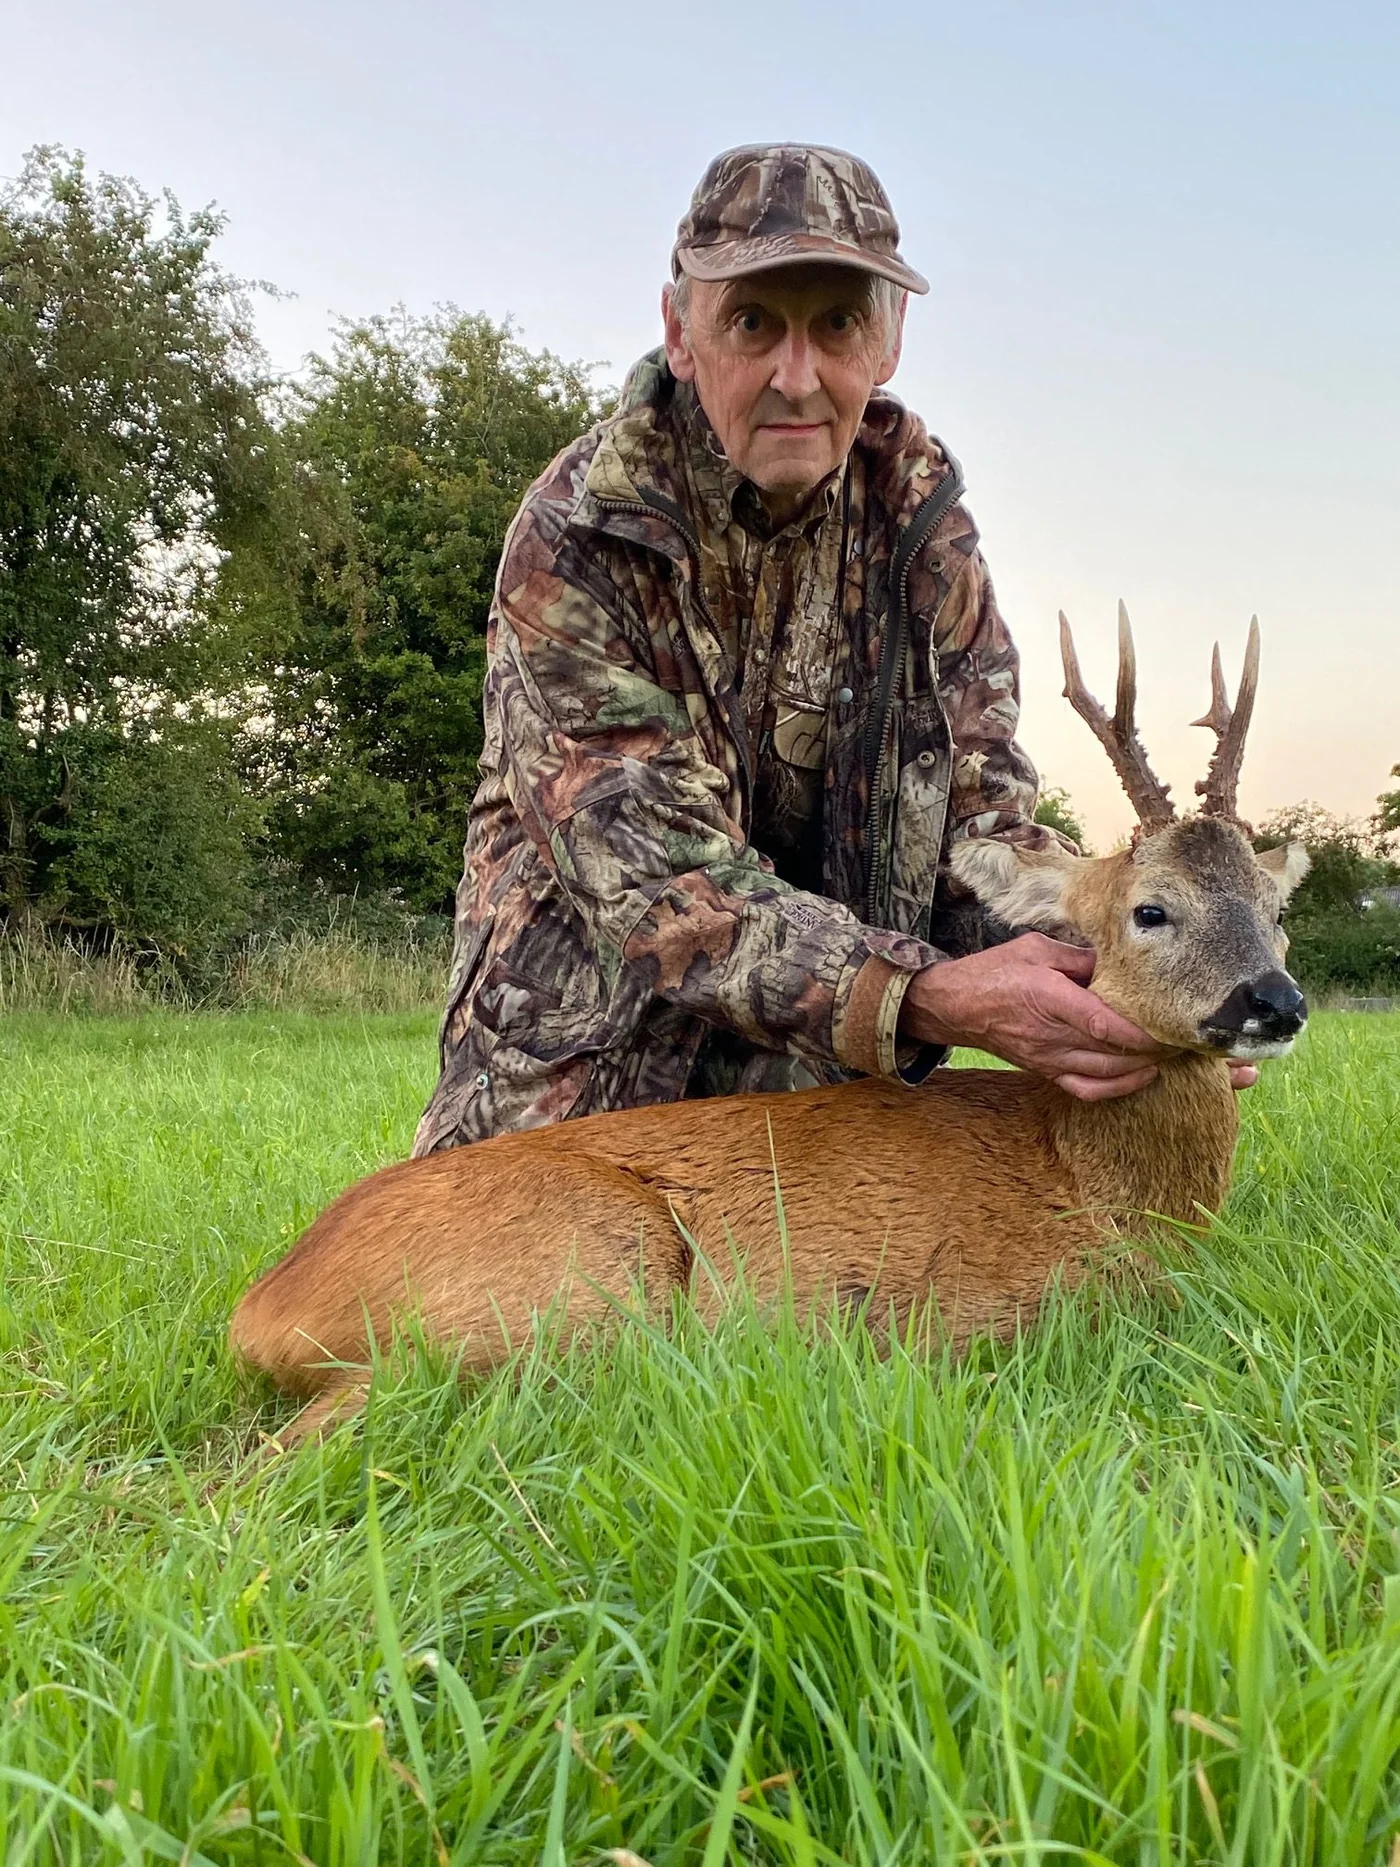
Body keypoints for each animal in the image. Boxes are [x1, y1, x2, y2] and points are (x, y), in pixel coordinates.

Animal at [230, 606, 1310, 1442]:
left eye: (1275, 909)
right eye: (1149, 909)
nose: (1275, 1003)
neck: (1097, 1180)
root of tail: (264, 1306)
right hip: (552, 1291)